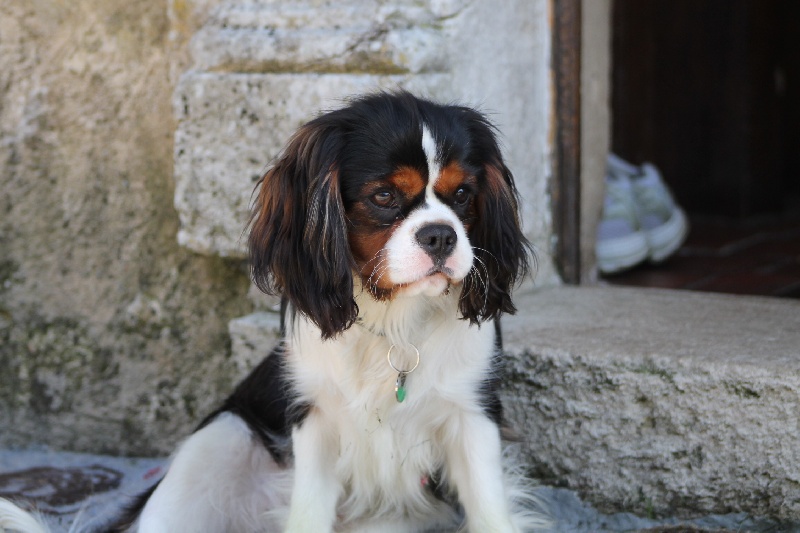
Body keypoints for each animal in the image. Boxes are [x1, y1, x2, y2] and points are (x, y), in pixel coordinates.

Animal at [0, 92, 544, 532]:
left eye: (463, 194)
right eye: (384, 195)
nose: (441, 235)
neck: (394, 323)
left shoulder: (473, 417)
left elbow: (489, 511)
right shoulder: (315, 423)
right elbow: (308, 514)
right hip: (216, 441)